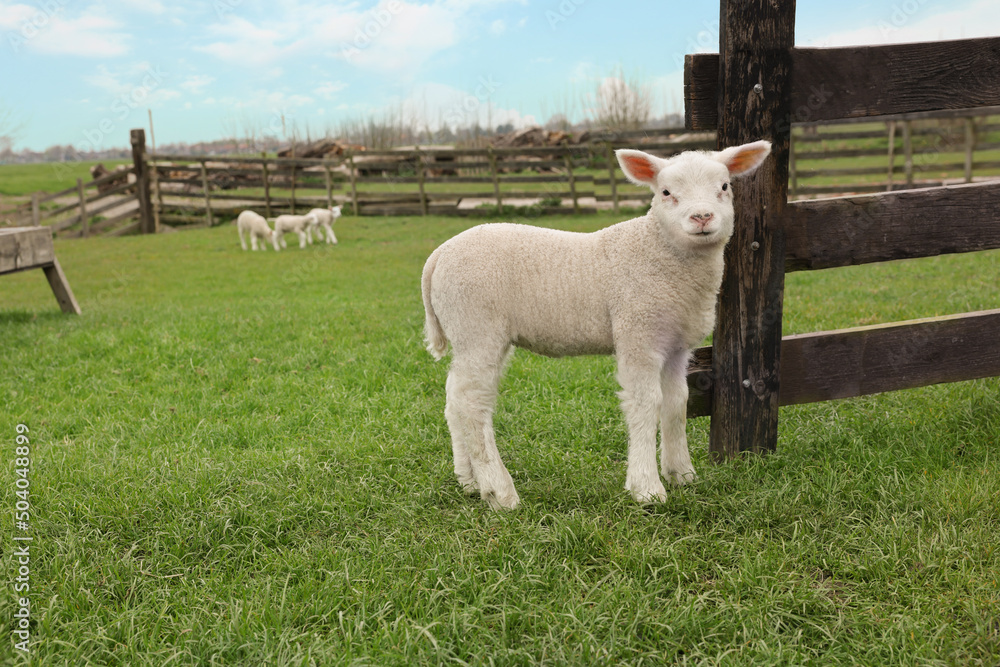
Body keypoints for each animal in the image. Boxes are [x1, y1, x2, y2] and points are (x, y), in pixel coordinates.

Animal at [421, 140, 771, 509]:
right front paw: (647, 487)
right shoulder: (637, 333)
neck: (660, 252)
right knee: (472, 403)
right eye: (665, 192)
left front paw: (681, 474)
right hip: (478, 327)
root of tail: (438, 255)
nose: (702, 217)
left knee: (454, 398)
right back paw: (499, 491)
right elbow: (646, 404)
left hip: (471, 334)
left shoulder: (676, 345)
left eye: (725, 187)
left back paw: (469, 479)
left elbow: (677, 403)